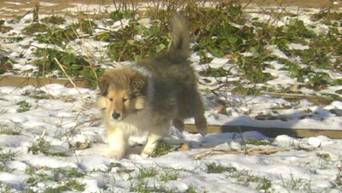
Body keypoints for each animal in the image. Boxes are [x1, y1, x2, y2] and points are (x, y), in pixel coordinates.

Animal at [97, 15, 207, 159]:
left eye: (125, 99)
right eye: (110, 99)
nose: (115, 115)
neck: (135, 112)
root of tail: (175, 56)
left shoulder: (160, 120)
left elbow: (153, 138)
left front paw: (146, 153)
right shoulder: (117, 125)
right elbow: (118, 140)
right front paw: (115, 154)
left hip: (186, 101)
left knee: (198, 107)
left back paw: (202, 128)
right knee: (179, 115)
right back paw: (179, 126)